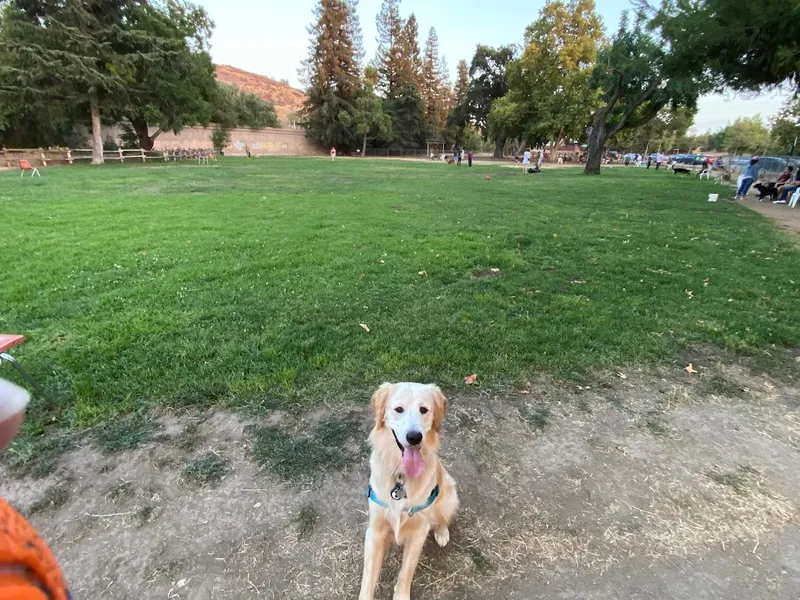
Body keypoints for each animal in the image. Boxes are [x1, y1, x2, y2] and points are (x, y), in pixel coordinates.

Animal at [360, 384, 460, 600]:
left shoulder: (419, 529)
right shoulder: (375, 531)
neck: (401, 476)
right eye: (399, 409)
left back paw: (442, 532)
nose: (414, 437)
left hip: (448, 493)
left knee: (442, 518)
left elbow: (406, 572)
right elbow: (368, 579)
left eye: (424, 410)